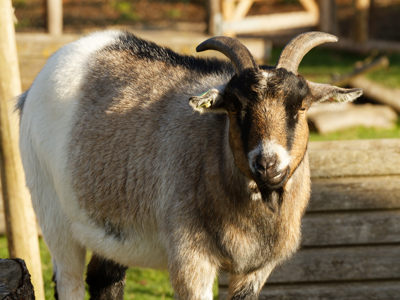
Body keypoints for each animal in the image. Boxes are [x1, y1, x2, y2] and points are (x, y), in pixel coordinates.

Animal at [18, 31, 362, 300]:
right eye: (235, 107)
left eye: (301, 106)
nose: (267, 163)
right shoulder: (191, 259)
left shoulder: (256, 269)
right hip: (52, 212)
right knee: (69, 281)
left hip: (109, 229)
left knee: (104, 280)